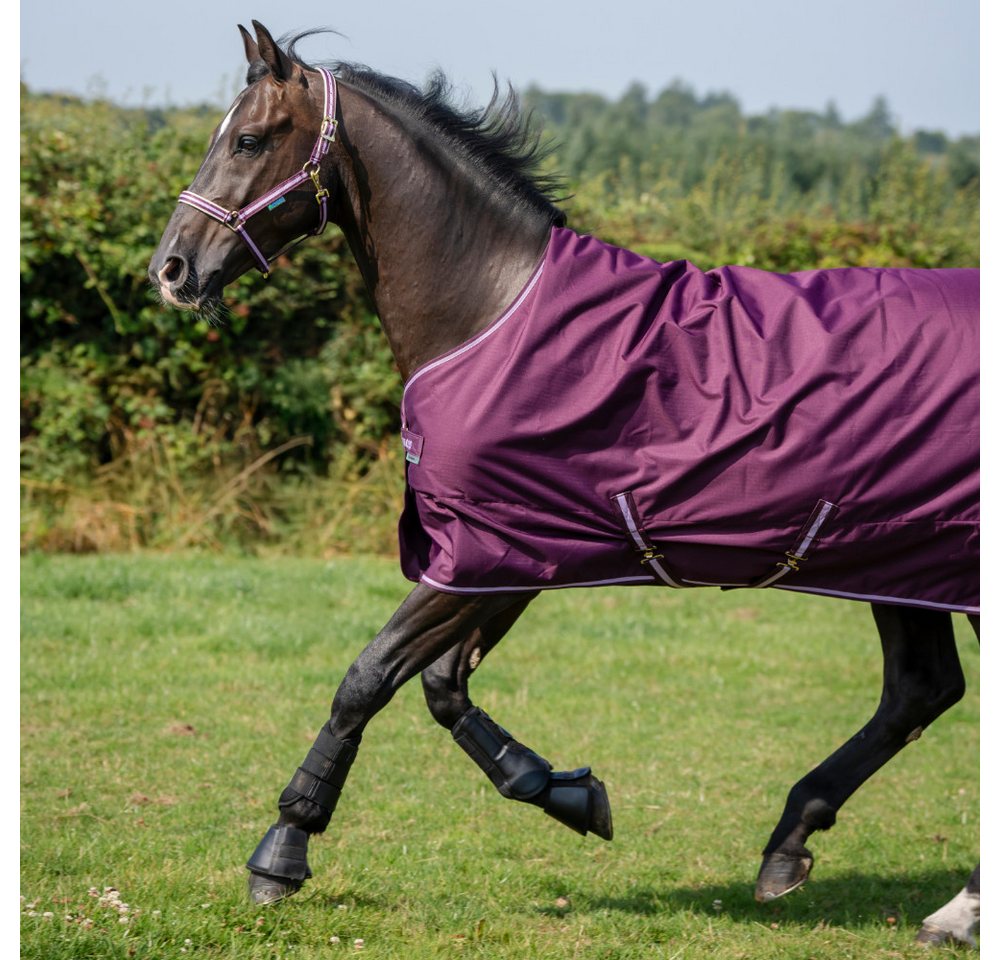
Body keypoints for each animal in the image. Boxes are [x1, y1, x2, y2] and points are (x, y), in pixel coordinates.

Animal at [148, 22, 980, 947]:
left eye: (250, 140)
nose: (172, 269)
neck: (491, 313)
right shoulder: (509, 560)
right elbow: (442, 688)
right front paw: (569, 795)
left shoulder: (486, 553)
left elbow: (369, 677)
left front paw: (282, 852)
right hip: (901, 560)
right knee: (919, 690)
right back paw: (794, 847)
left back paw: (951, 907)